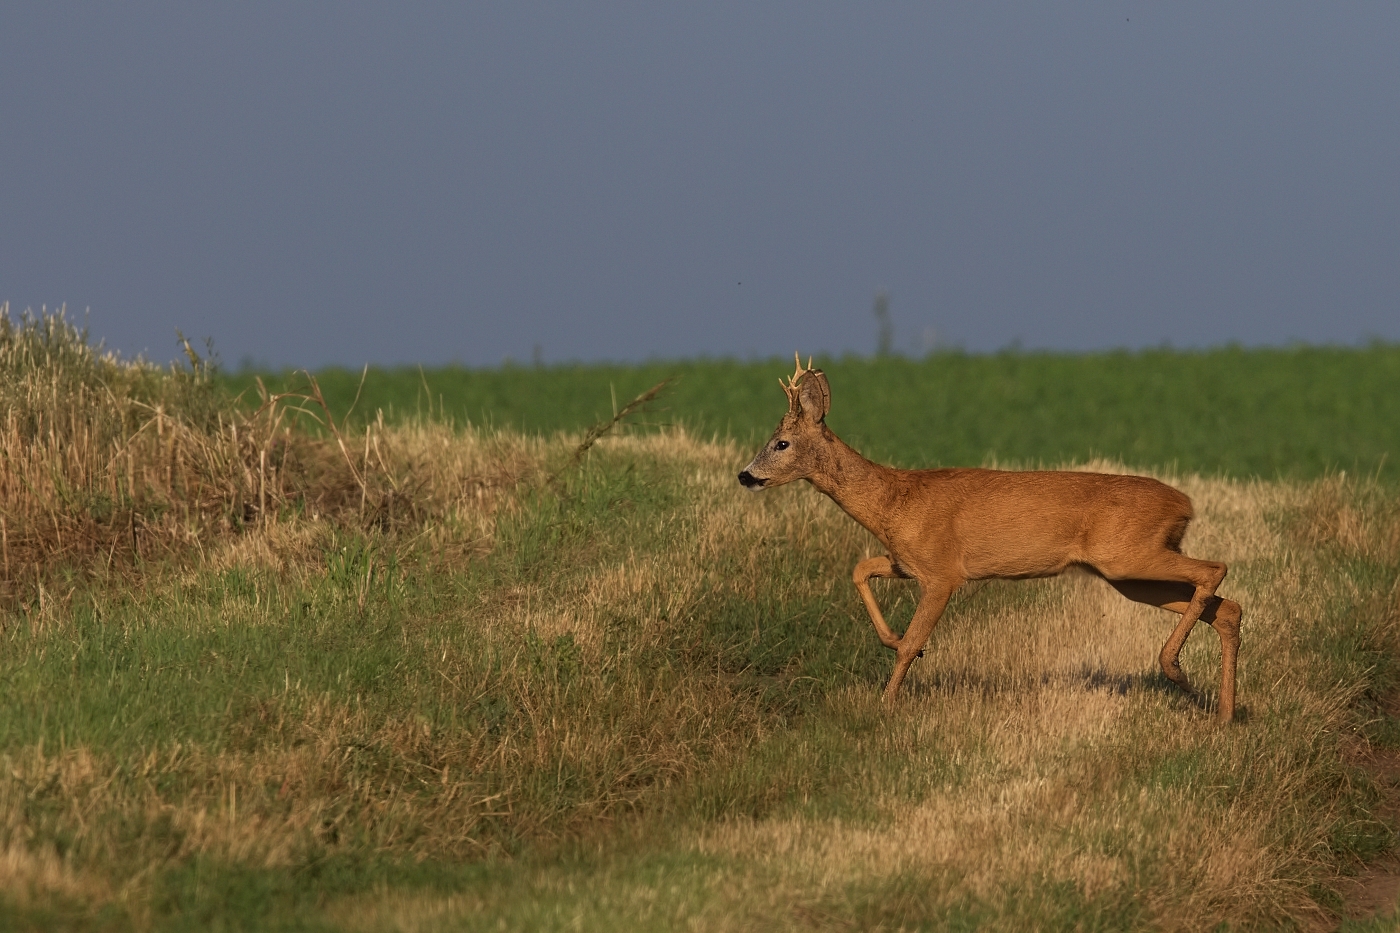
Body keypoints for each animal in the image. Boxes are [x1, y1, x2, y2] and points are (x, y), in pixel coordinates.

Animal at [739, 353, 1243, 722]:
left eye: (781, 443)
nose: (745, 475)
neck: (892, 501)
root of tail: (1185, 505)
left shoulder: (943, 571)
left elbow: (911, 641)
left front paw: (886, 703)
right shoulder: (906, 561)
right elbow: (860, 569)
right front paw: (893, 640)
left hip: (1129, 555)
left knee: (1215, 568)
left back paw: (1174, 668)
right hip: (1130, 574)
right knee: (1227, 609)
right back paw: (1222, 713)